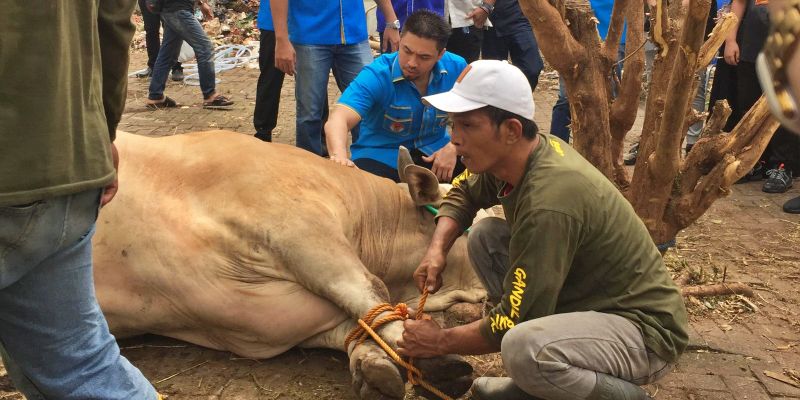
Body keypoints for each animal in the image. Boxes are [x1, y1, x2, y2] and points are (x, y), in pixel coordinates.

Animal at [97, 130, 490, 398]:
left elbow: (357, 322)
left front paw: (373, 362)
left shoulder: (259, 325)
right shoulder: (302, 232)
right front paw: (433, 361)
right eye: (479, 219)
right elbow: (368, 291)